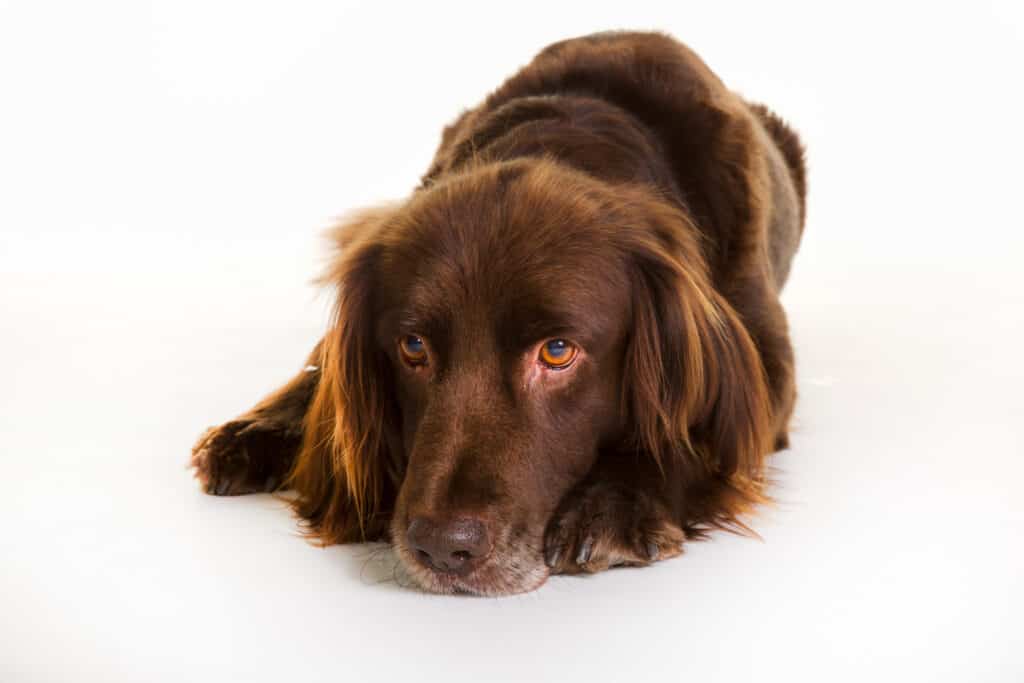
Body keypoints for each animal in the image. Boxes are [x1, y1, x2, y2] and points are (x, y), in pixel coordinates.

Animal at [188, 31, 802, 593]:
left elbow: (691, 431)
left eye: (558, 352)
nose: (442, 547)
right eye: (413, 347)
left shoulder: (766, 372)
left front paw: (615, 502)